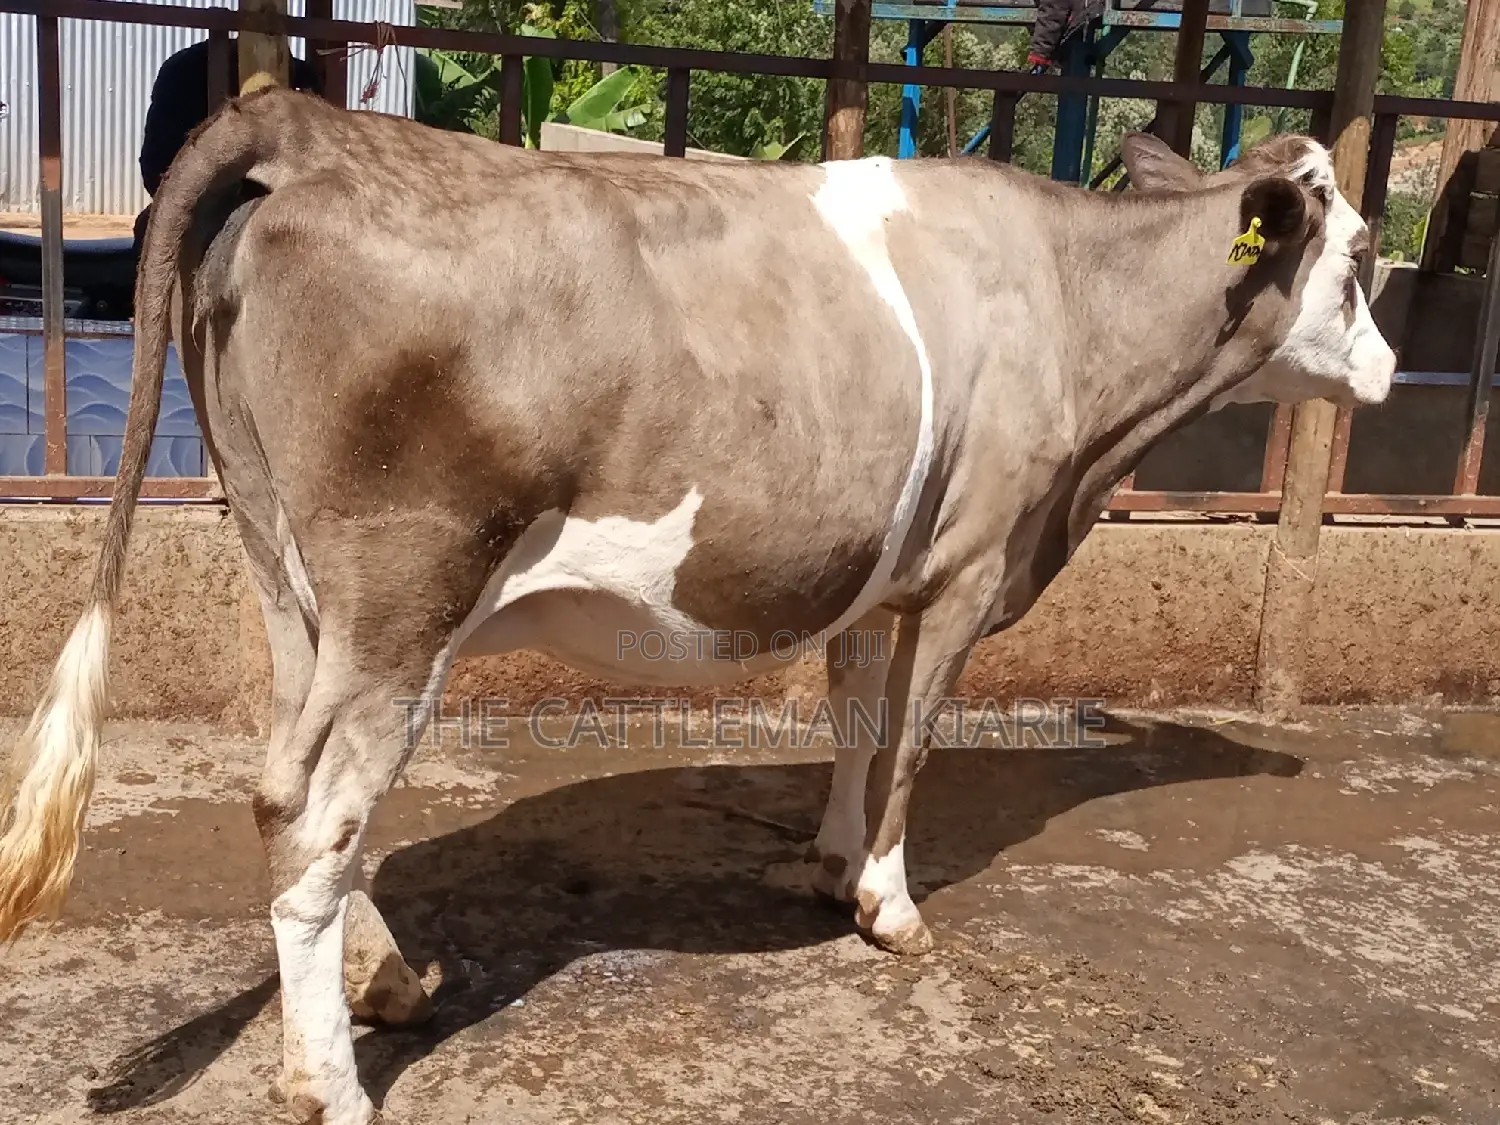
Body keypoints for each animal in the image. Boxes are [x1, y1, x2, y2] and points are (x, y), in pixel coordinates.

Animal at [0, 86, 1393, 1125]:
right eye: (1365, 259)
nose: (1385, 366)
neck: (1072, 309)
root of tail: (308, 126)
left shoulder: (877, 570)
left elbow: (853, 725)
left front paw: (832, 866)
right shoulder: (971, 565)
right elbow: (913, 743)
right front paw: (891, 907)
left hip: (287, 574)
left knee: (287, 786)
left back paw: (382, 977)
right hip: (406, 594)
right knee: (315, 806)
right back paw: (329, 1082)